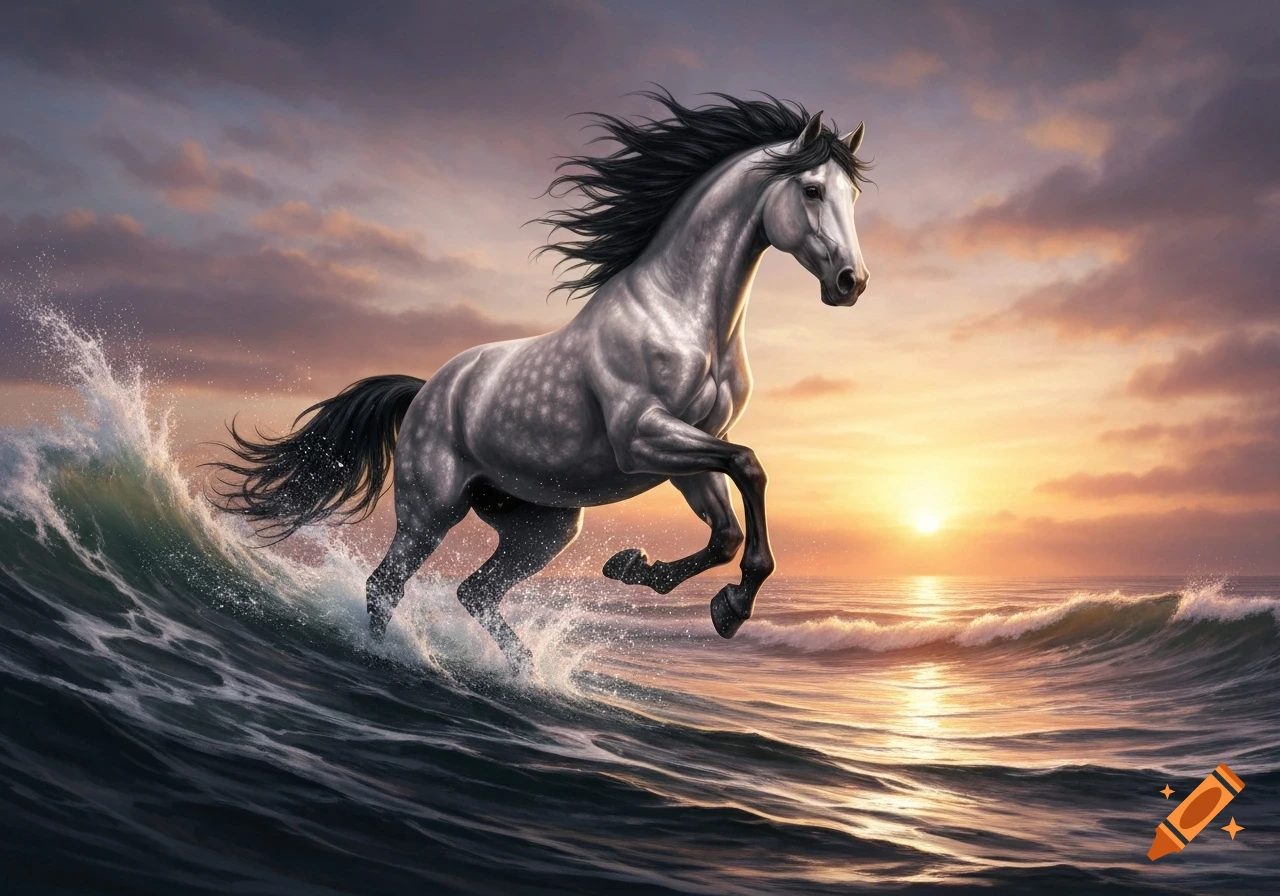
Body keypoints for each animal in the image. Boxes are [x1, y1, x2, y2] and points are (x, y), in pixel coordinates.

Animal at [210, 91, 870, 670]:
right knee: (386, 585)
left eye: (854, 196)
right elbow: (751, 467)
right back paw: (393, 662)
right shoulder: (643, 437)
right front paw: (725, 604)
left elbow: (729, 528)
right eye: (812, 190)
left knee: (475, 592)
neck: (685, 317)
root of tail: (426, 390)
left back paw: (522, 675)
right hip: (431, 510)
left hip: (542, 528)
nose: (851, 282)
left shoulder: (686, 454)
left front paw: (651, 576)